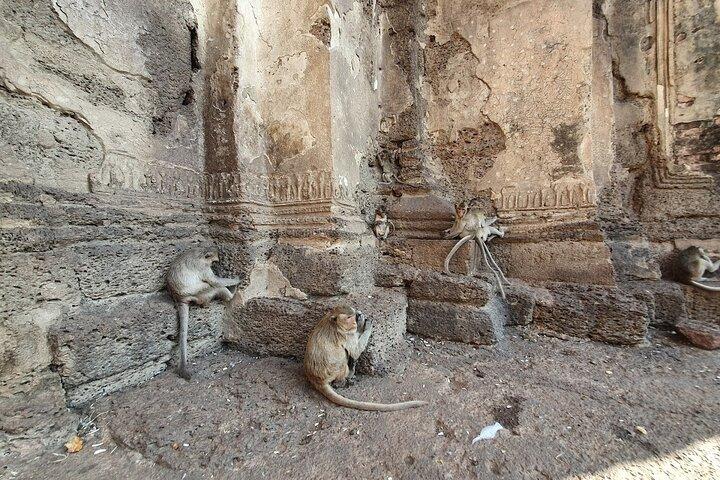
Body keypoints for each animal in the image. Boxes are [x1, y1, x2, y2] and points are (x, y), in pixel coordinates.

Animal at [166, 247, 240, 379]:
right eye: (213, 261)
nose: (214, 265)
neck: (200, 254)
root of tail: (179, 298)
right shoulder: (203, 267)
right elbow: (215, 281)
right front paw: (236, 279)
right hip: (200, 293)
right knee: (211, 286)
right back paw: (231, 294)